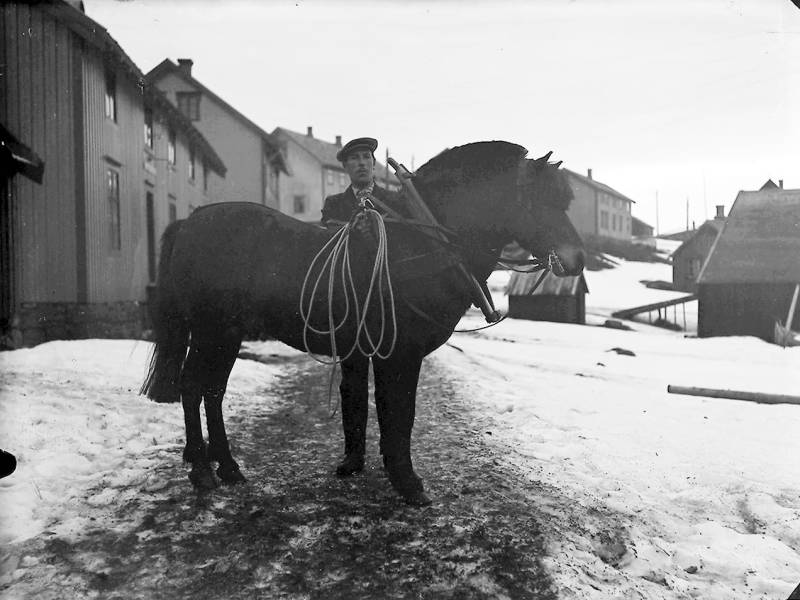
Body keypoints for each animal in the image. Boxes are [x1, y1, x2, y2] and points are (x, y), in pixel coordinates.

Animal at [141, 140, 585, 506]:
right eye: (538, 201)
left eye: (565, 200)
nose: (577, 258)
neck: (425, 245)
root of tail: (192, 222)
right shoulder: (400, 353)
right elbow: (399, 413)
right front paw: (406, 480)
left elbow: (394, 413)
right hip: (210, 330)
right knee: (192, 387)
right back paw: (202, 471)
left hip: (227, 335)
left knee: (213, 392)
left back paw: (229, 467)